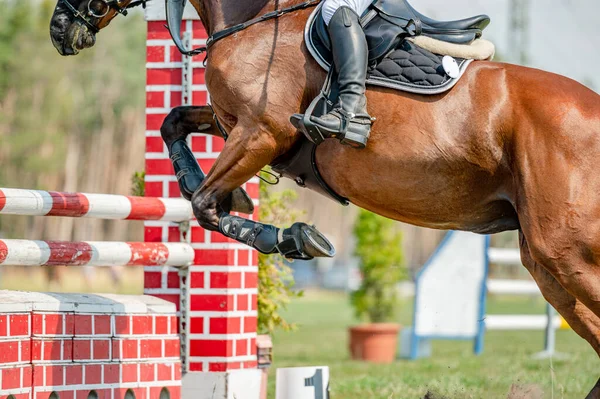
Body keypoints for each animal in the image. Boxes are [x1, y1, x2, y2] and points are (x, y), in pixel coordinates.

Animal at [50, 0, 600, 394]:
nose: (59, 28)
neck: (252, 19)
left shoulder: (260, 131)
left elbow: (206, 205)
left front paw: (294, 237)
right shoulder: (237, 125)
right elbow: (175, 123)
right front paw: (222, 194)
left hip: (564, 251)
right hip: (546, 267)